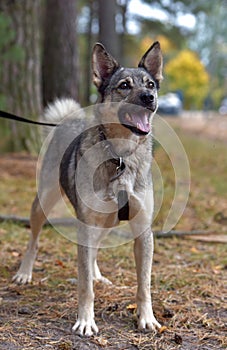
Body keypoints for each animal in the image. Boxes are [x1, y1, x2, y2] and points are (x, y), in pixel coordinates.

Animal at [12, 41, 163, 336]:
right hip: (44, 205)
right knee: (34, 241)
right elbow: (84, 287)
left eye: (150, 84)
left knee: (94, 252)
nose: (149, 98)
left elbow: (144, 284)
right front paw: (85, 320)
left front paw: (146, 318)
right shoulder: (86, 225)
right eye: (124, 86)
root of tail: (67, 122)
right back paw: (25, 272)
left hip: (104, 222)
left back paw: (97, 274)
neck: (120, 157)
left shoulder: (143, 231)